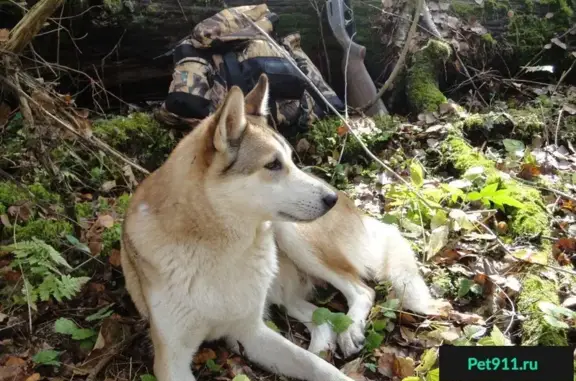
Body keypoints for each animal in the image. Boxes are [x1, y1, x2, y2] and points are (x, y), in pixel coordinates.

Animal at [120, 74, 436, 380]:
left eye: (292, 160)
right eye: (272, 165)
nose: (331, 199)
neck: (219, 245)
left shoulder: (251, 331)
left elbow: (318, 367)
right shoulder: (174, 359)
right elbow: (313, 360)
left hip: (293, 236)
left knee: (361, 290)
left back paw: (349, 331)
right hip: (282, 285)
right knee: (322, 316)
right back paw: (325, 342)